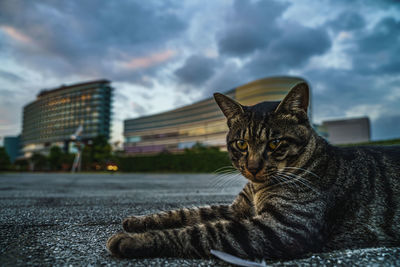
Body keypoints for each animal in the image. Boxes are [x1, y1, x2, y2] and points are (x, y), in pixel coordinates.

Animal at [107, 82, 400, 260]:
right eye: (241, 144)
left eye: (275, 143)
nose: (253, 167)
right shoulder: (237, 209)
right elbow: (187, 213)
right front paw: (137, 221)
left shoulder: (282, 228)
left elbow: (198, 232)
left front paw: (132, 241)